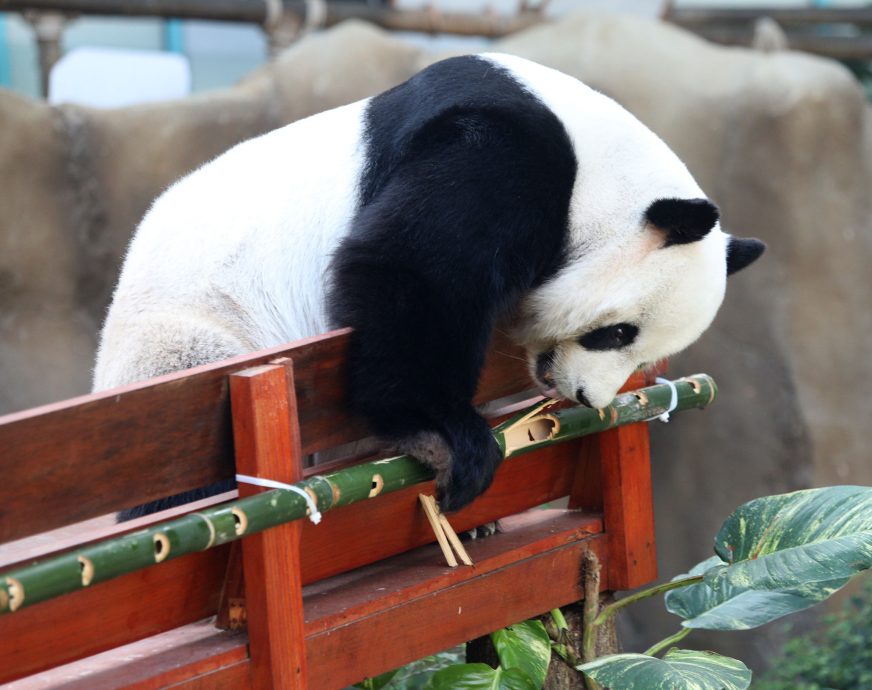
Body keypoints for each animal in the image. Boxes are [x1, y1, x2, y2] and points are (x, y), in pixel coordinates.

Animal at [93, 53, 764, 512]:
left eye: (644, 356)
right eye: (618, 333)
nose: (583, 396)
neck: (601, 171)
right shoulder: (507, 154)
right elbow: (413, 272)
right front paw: (447, 435)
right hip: (192, 335)